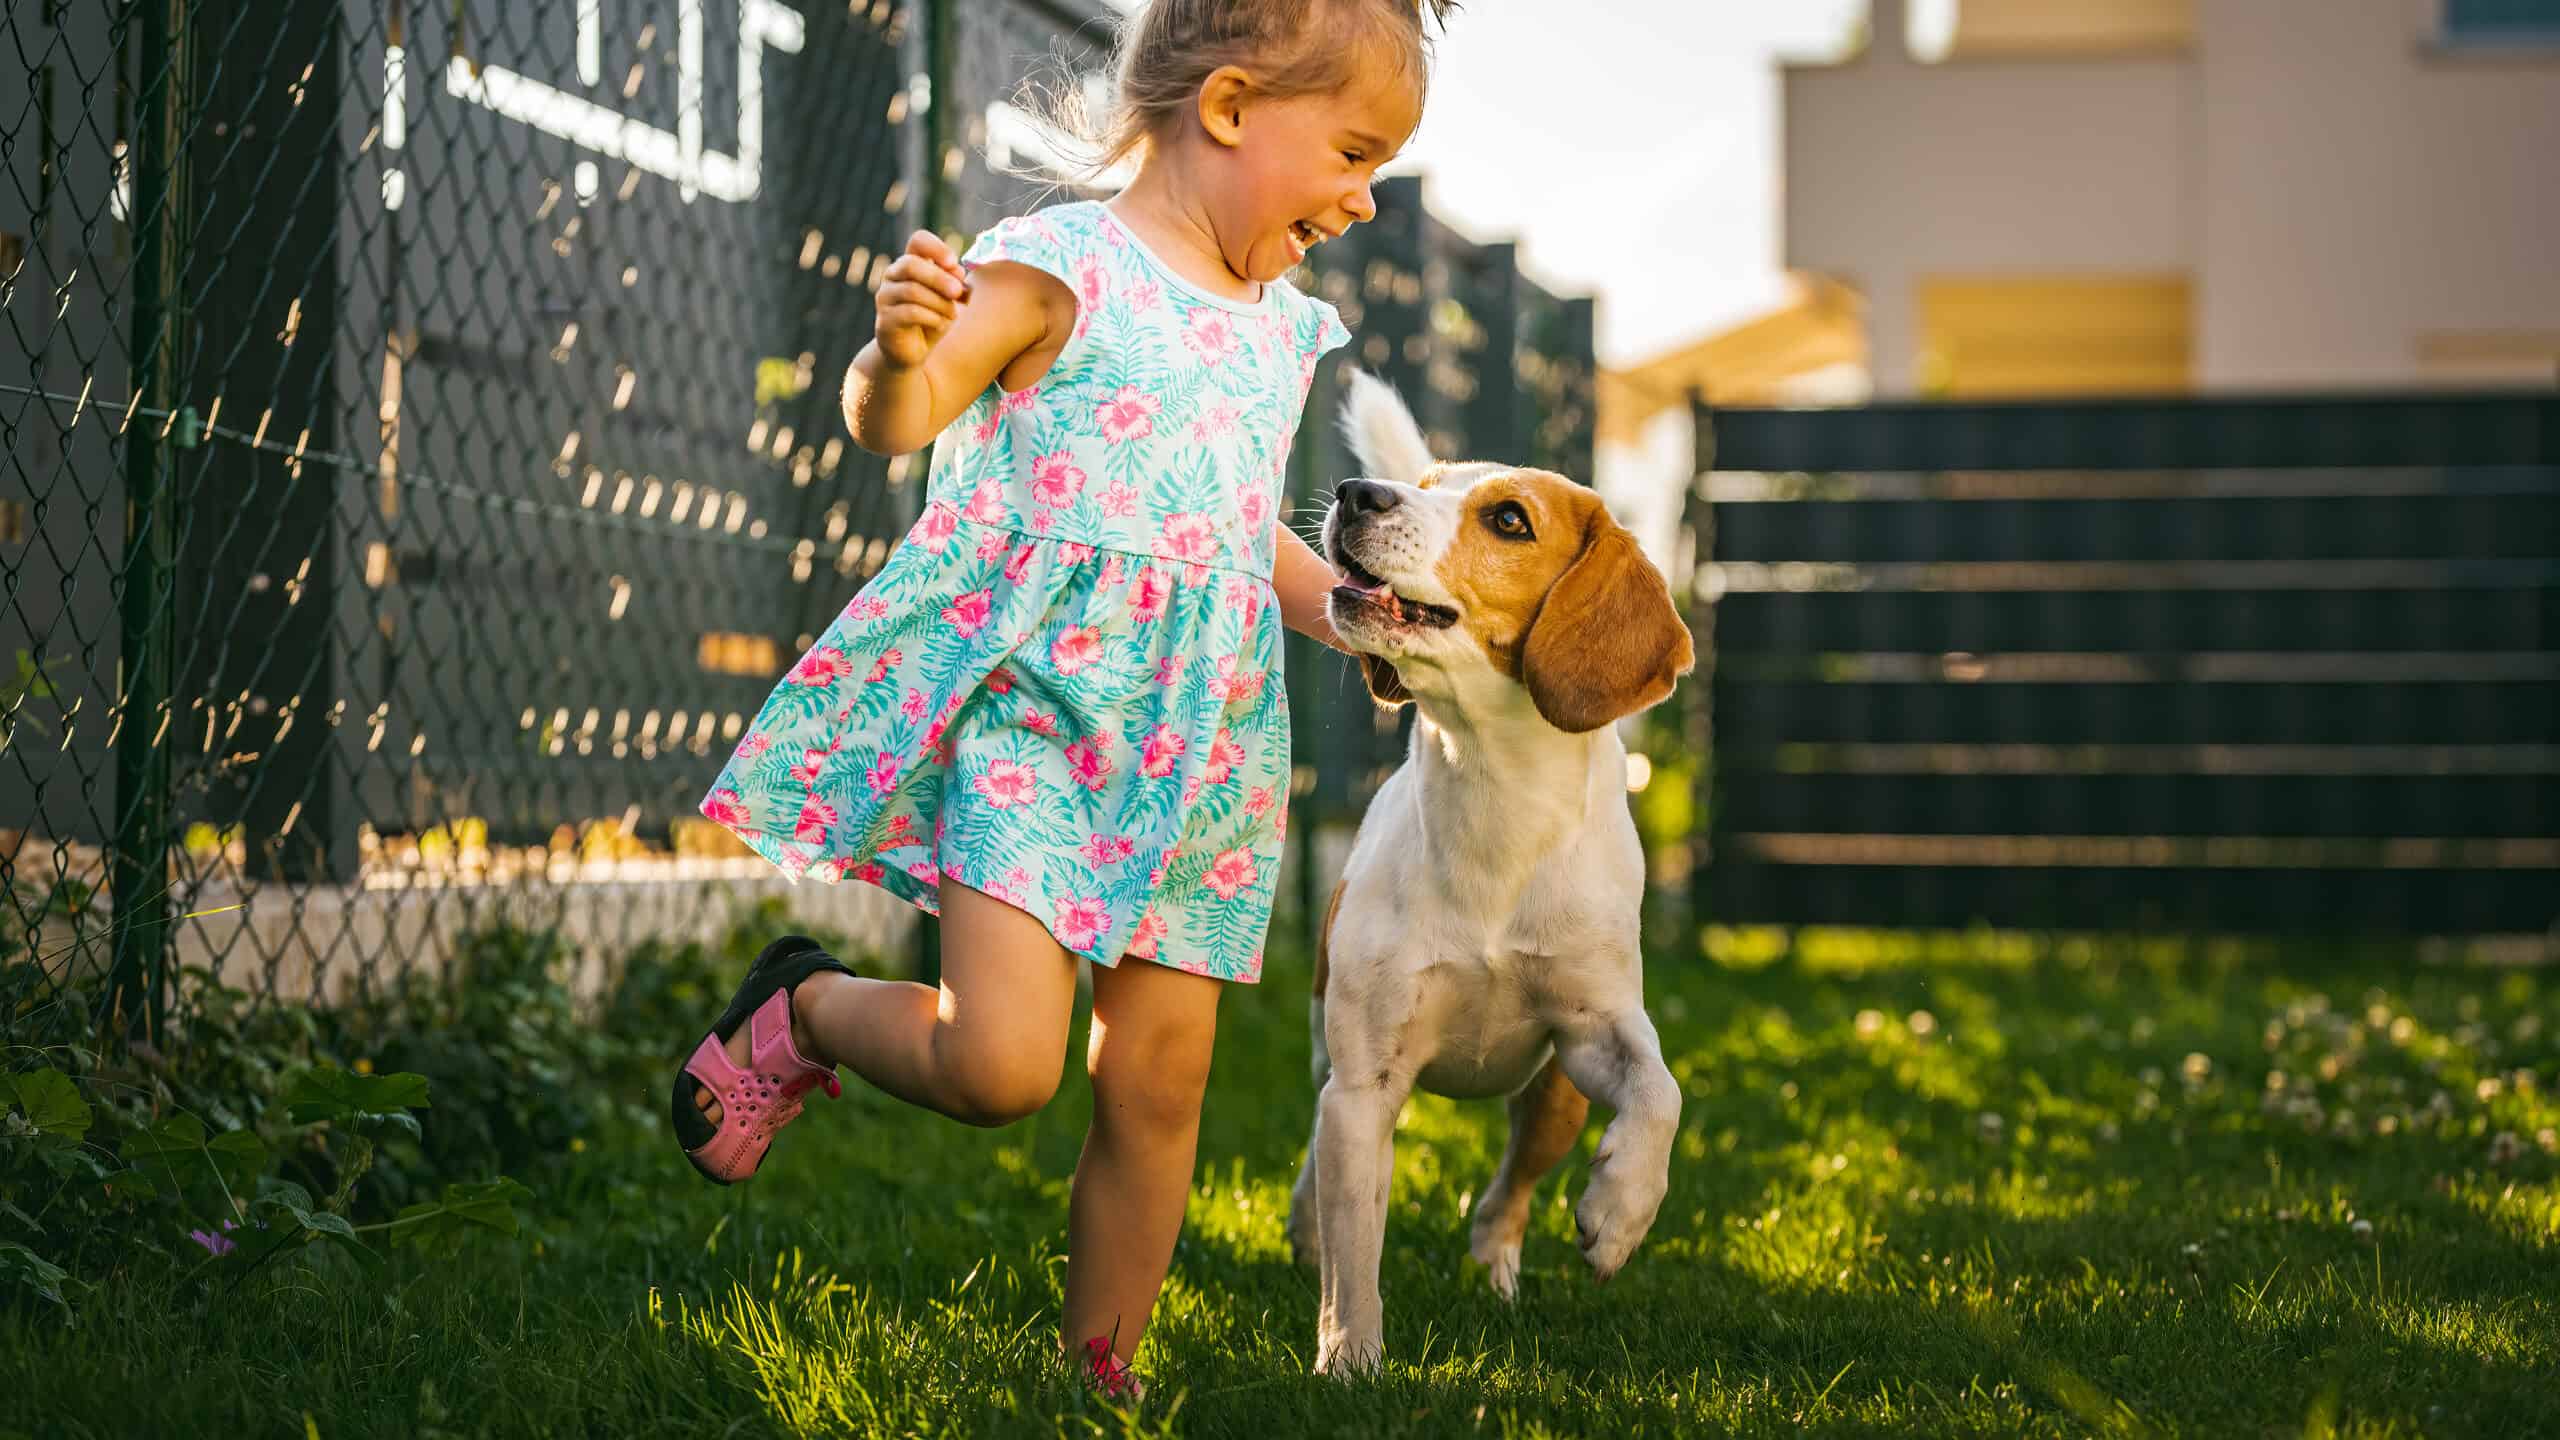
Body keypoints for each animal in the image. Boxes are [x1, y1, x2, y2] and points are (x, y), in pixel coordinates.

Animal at [1290, 366, 1689, 1363]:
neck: (1492, 795)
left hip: (1555, 1099)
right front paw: (1349, 1360)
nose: (1357, 494)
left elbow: (1662, 1090)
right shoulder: (1365, 1086)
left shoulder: (1596, 1029)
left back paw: (1502, 1268)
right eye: (1424, 484)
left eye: (1509, 520)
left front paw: (1621, 1213)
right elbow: (1356, 1254)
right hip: (1329, 1054)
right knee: (1322, 1157)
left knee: (1505, 1194)